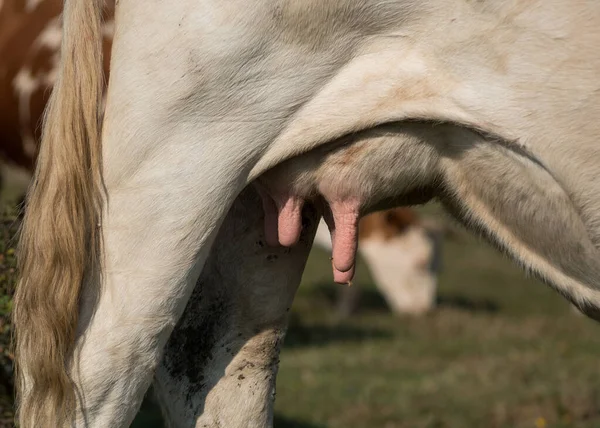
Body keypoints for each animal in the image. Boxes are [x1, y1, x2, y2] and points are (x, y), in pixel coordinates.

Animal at [10, 0, 600, 428]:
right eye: (415, 265)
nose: (420, 314)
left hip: (245, 199)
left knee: (217, 362)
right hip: (173, 157)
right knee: (92, 372)